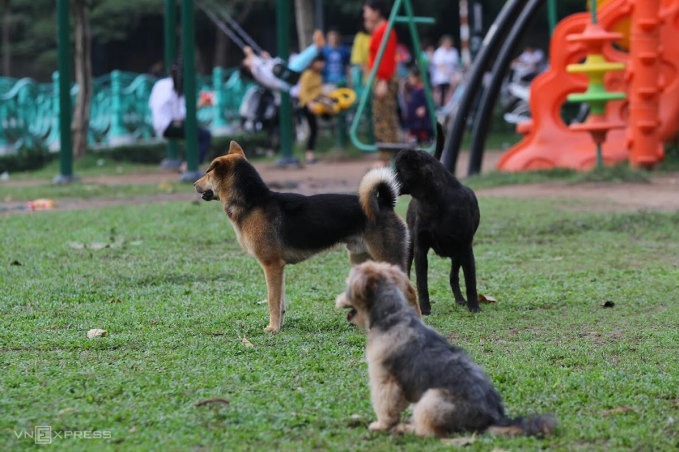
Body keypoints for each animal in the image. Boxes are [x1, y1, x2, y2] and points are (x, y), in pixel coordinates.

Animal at [194, 141, 418, 332]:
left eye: (207, 172)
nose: (195, 184)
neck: (253, 203)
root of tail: (384, 203)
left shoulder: (271, 266)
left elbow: (272, 300)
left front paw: (273, 328)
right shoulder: (279, 269)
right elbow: (281, 302)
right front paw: (280, 324)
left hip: (387, 257)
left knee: (410, 291)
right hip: (361, 258)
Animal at [394, 125, 484, 312]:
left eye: (398, 171)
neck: (433, 201)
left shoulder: (465, 248)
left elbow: (470, 281)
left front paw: (474, 307)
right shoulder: (420, 249)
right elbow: (422, 283)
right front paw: (425, 310)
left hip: (457, 255)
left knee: (453, 276)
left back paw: (461, 300)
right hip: (411, 246)